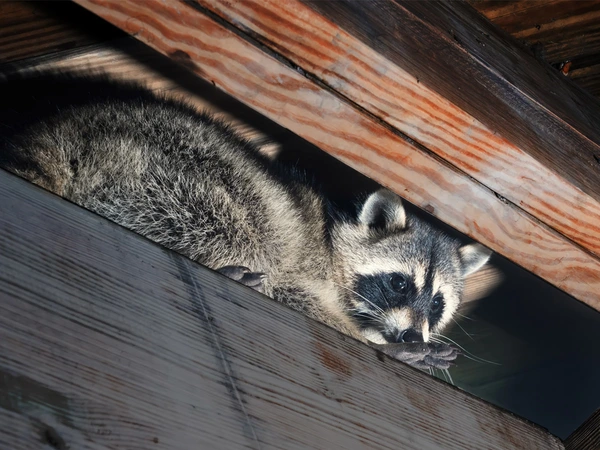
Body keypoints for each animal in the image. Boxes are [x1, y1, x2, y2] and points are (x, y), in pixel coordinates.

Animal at [0, 73, 492, 370]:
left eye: (437, 304)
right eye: (398, 283)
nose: (410, 334)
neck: (332, 240)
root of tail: (63, 130)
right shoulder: (305, 265)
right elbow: (293, 291)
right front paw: (379, 343)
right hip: (168, 169)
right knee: (239, 227)